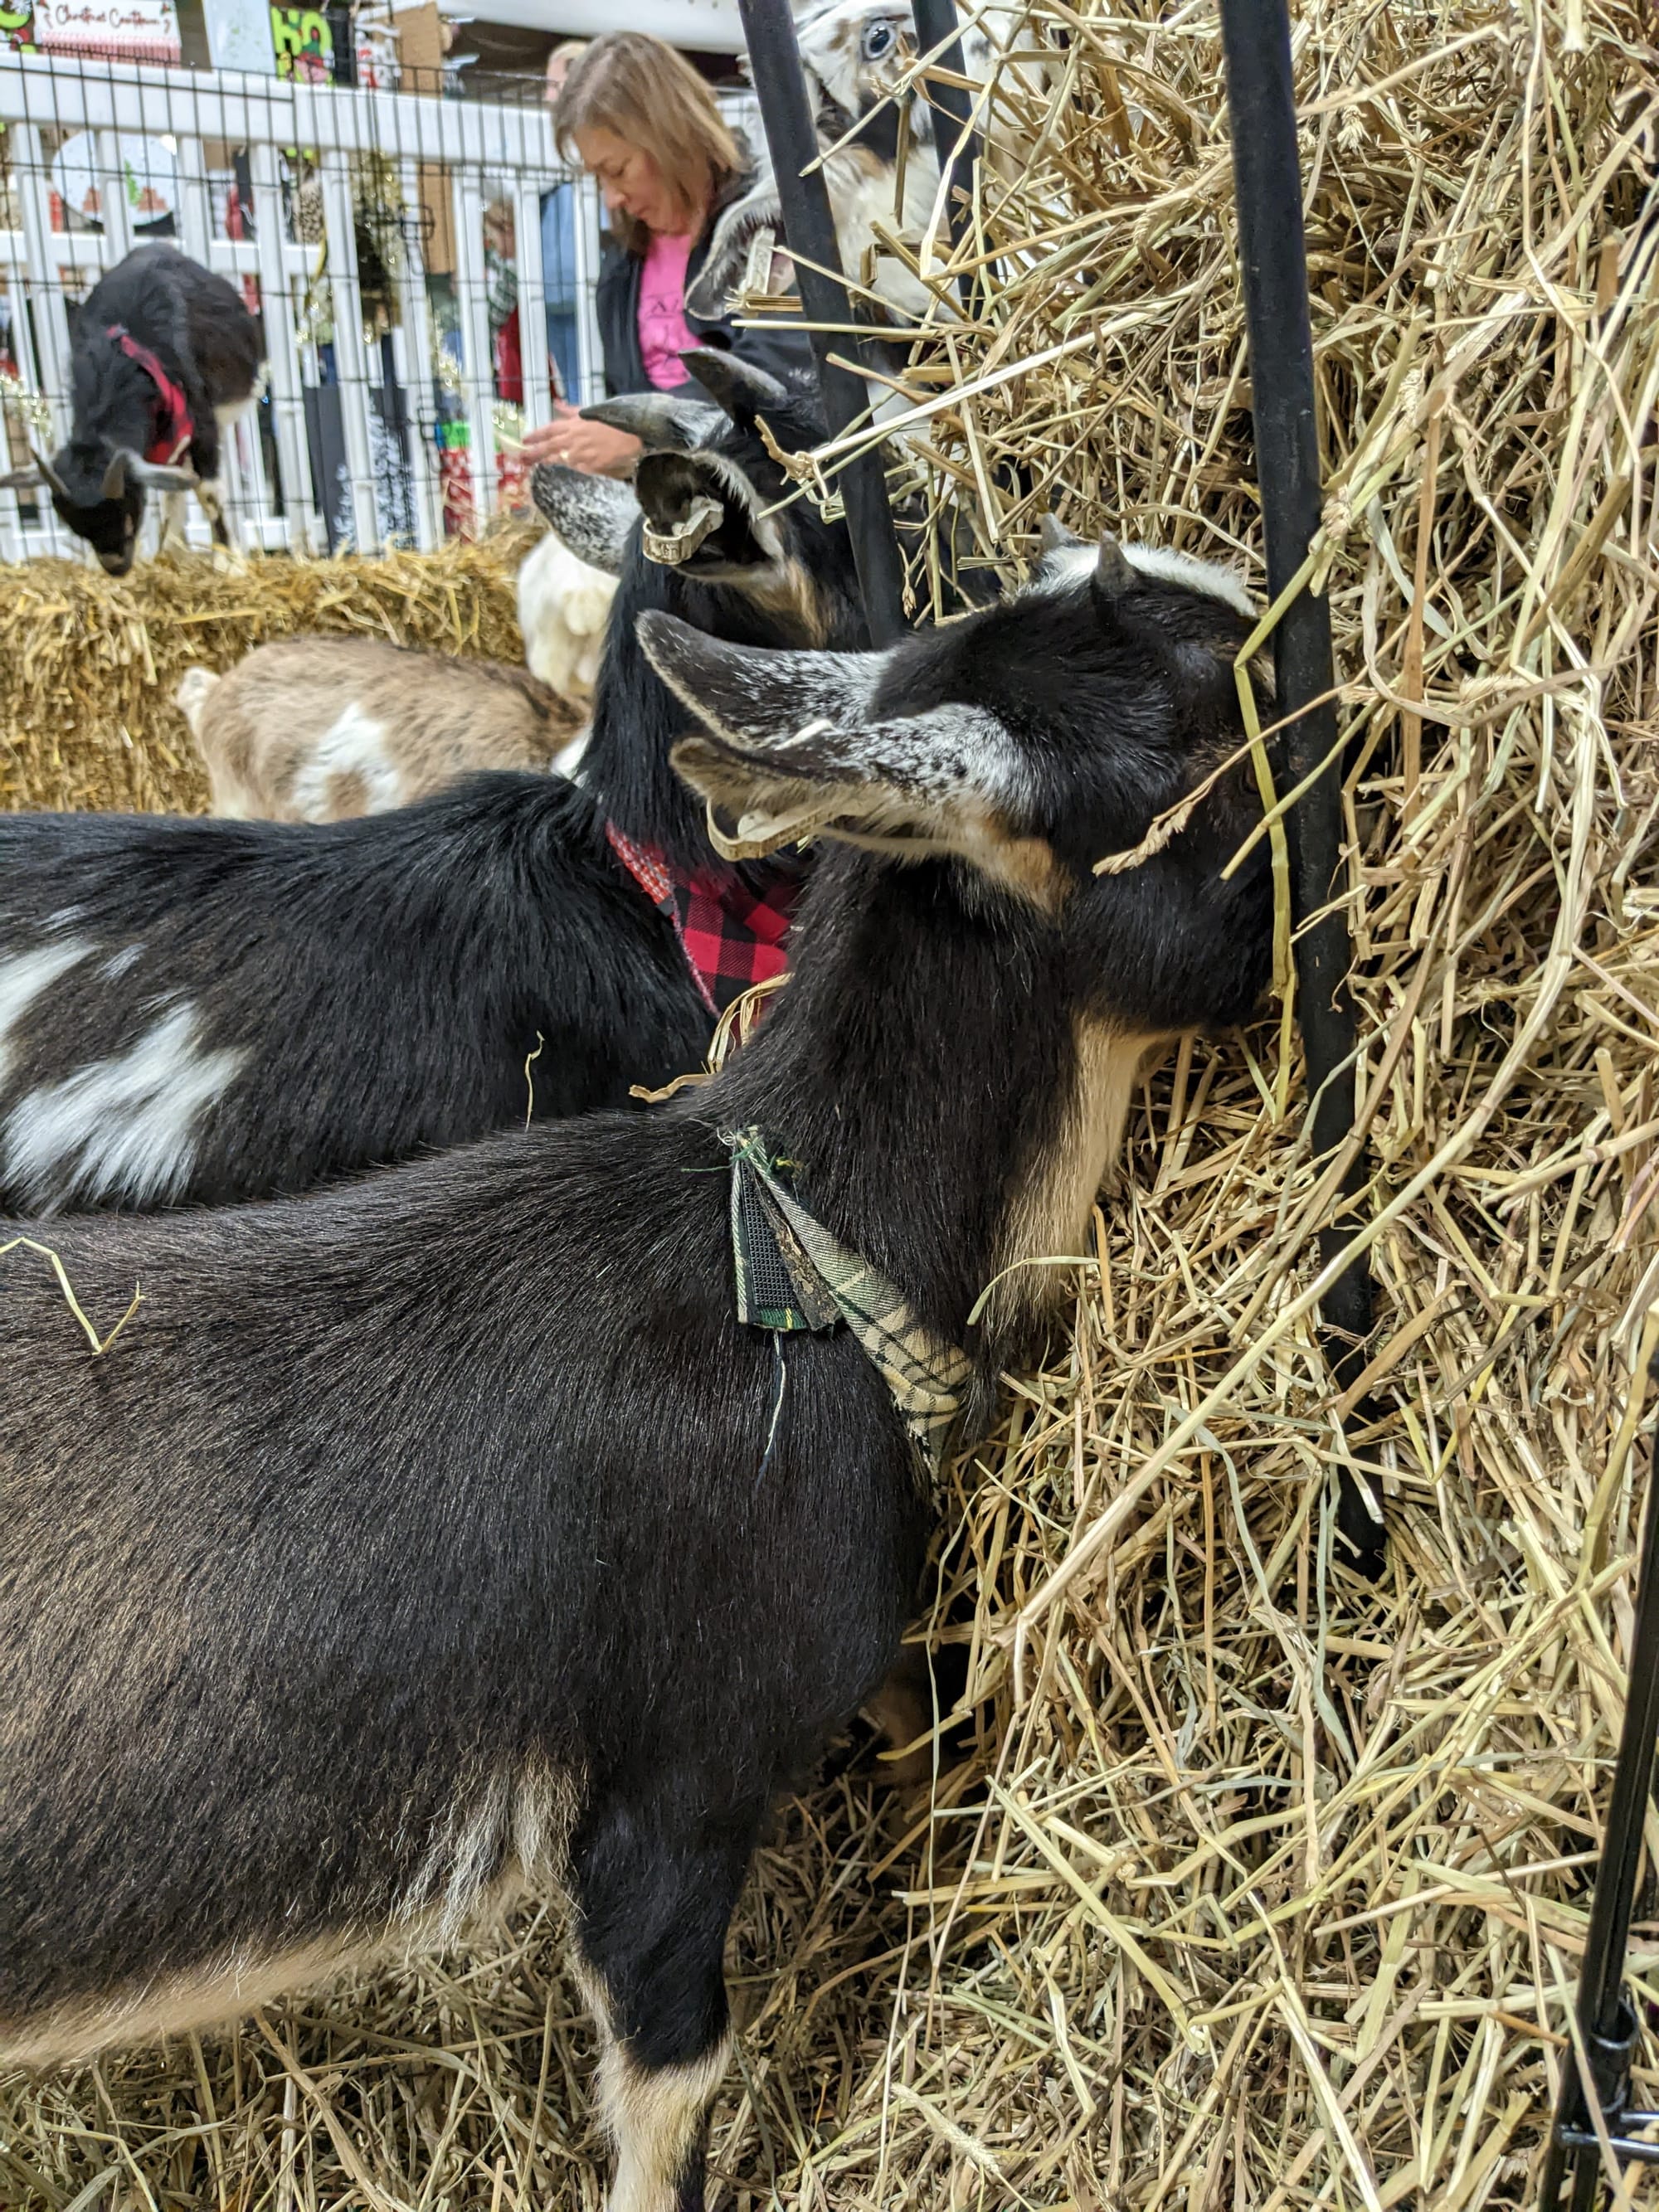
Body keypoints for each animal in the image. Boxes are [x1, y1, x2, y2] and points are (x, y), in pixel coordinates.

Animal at [0, 247, 264, 574]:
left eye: (129, 509)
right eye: (76, 526)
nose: (116, 568)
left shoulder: (203, 427)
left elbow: (208, 492)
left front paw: (229, 561)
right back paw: (170, 550)